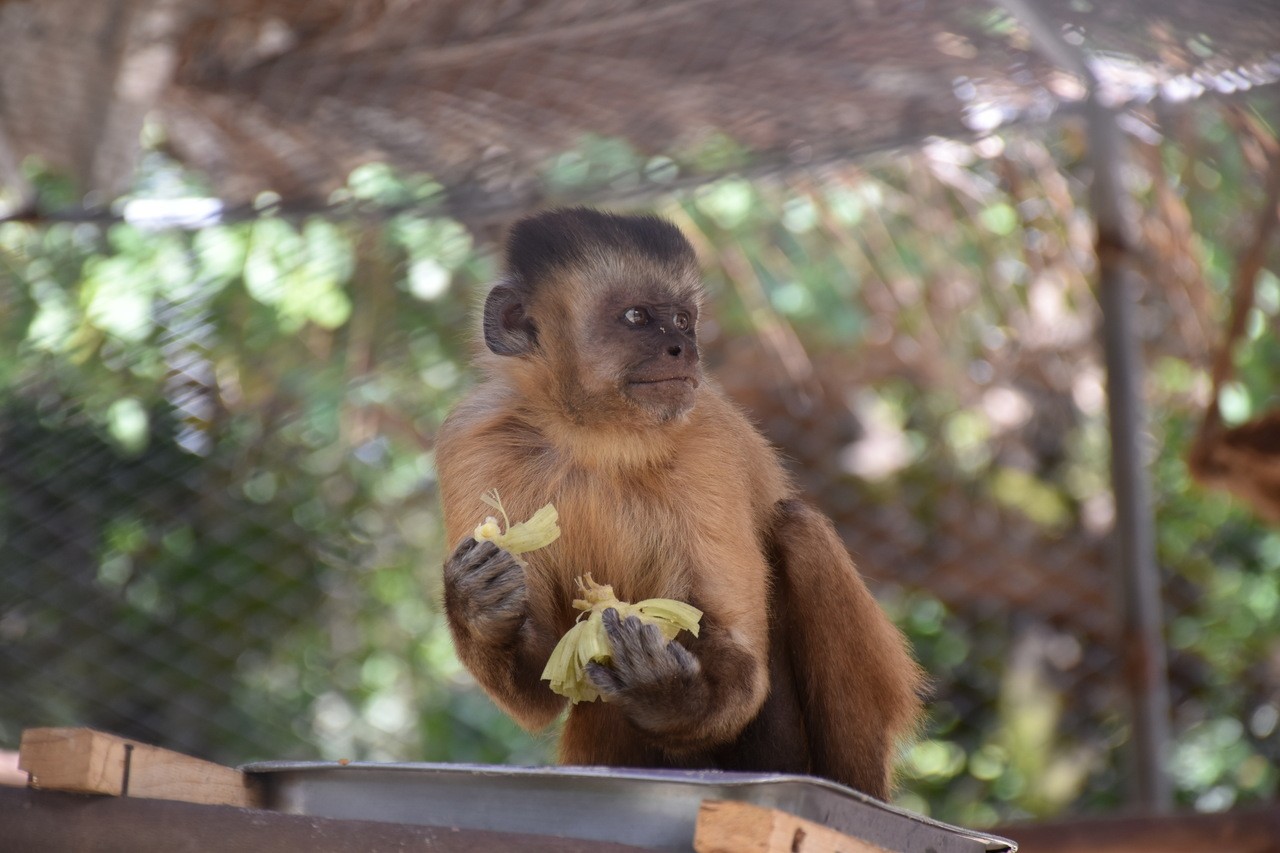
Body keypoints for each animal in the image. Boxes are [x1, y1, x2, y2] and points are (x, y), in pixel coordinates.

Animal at [437, 207, 921, 799]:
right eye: (638, 317)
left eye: (684, 321)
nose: (683, 350)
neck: (595, 436)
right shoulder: (471, 440)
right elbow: (540, 690)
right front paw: (479, 602)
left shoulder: (707, 443)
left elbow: (736, 648)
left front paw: (667, 692)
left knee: (798, 529)